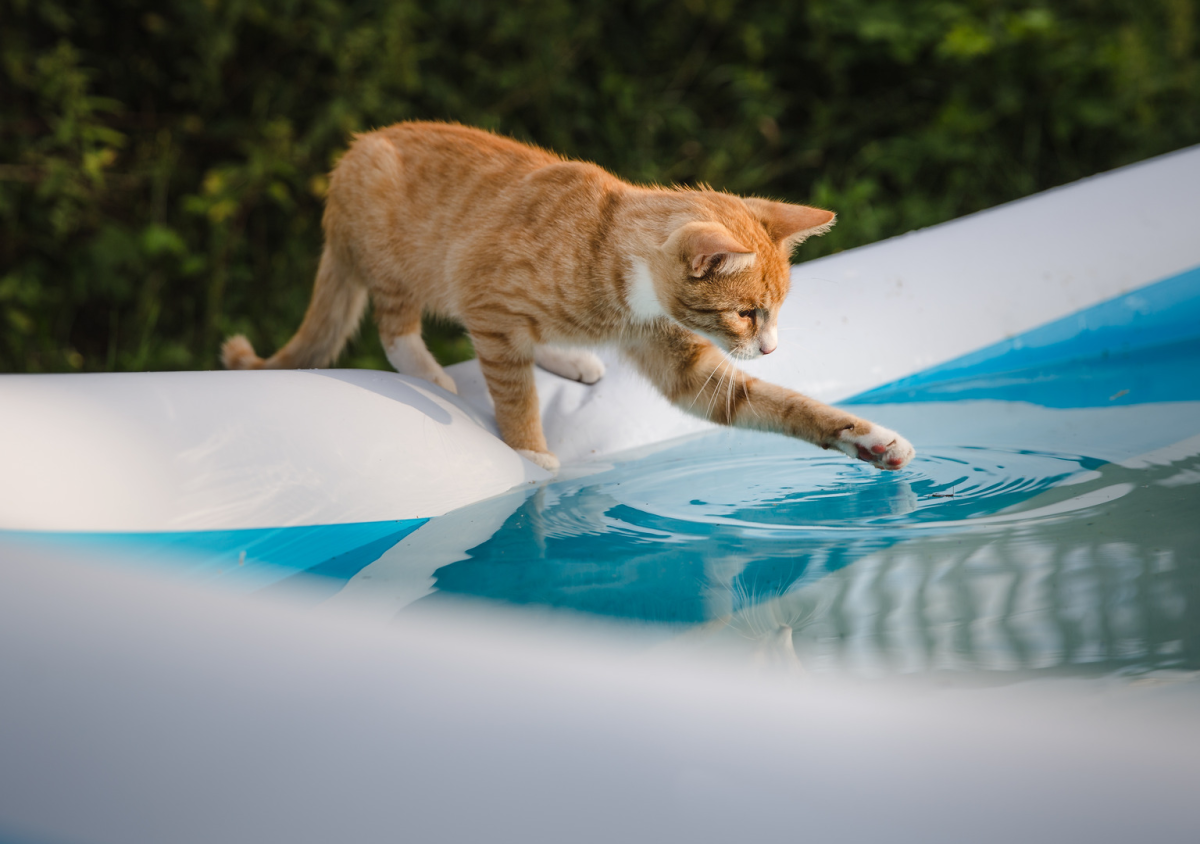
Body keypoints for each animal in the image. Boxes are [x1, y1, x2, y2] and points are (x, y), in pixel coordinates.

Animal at [220, 122, 912, 473]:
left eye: (775, 313)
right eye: (746, 314)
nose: (769, 348)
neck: (608, 251)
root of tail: (353, 153)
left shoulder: (686, 369)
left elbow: (781, 405)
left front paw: (869, 440)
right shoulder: (490, 306)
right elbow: (513, 392)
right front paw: (532, 455)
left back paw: (569, 357)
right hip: (395, 253)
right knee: (396, 326)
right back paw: (430, 374)